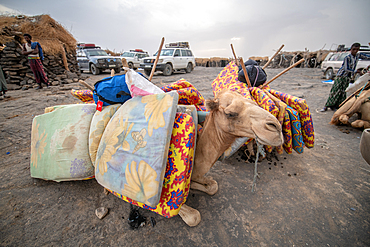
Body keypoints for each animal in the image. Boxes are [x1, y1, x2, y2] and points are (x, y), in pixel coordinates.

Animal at [178, 89, 284, 227]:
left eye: (254, 102)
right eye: (230, 113)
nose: (276, 127)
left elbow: (213, 186)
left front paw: (195, 185)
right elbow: (193, 217)